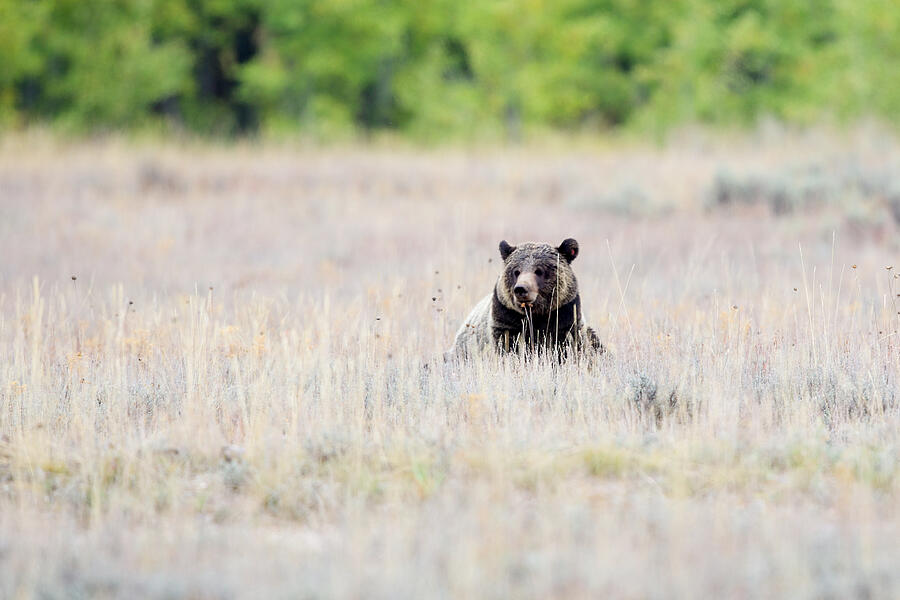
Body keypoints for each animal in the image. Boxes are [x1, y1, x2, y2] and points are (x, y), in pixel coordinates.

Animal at [450, 238, 604, 358]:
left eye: (539, 271)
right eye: (516, 271)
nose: (521, 289)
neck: (536, 315)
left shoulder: (565, 316)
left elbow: (566, 348)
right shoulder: (506, 319)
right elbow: (507, 348)